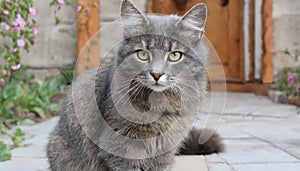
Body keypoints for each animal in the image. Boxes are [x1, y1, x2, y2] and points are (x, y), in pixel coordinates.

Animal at [47, 0, 224, 170]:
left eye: (175, 55)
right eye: (143, 54)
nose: (156, 74)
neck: (160, 106)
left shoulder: (164, 153)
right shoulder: (120, 149)